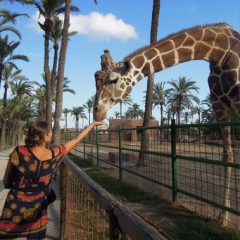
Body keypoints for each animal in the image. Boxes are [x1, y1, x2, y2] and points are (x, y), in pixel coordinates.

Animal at [93, 23, 240, 227]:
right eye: (95, 79)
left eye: (113, 79)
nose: (96, 112)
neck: (218, 51)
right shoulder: (219, 105)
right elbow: (228, 156)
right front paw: (222, 217)